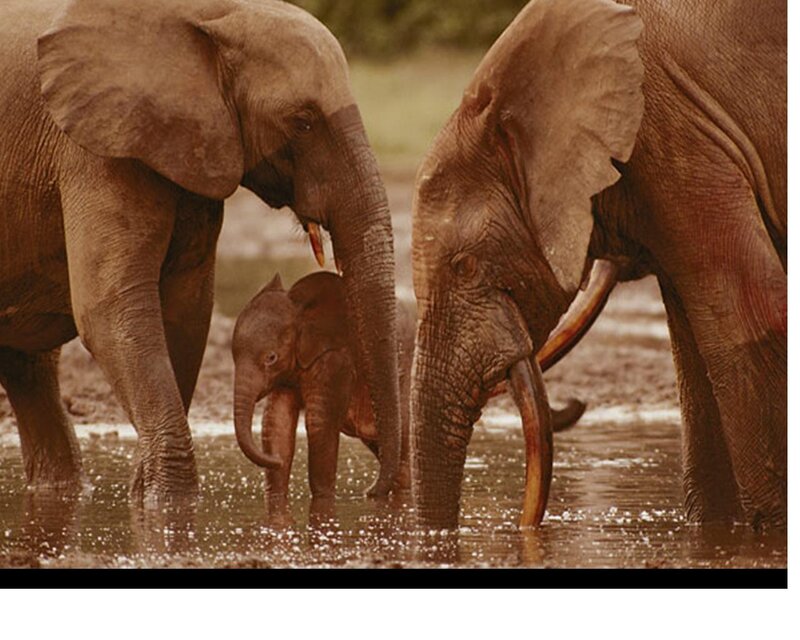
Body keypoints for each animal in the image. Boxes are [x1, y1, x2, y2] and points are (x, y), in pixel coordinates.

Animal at [0, 0, 402, 504]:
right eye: (303, 120)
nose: (375, 490)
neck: (213, 14)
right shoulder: (94, 150)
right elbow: (109, 311)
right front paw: (169, 503)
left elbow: (185, 311)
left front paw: (149, 496)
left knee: (28, 366)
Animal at [231, 271, 586, 510]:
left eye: (270, 358)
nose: (271, 463)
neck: (302, 308)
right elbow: (276, 424)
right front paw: (276, 495)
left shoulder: (337, 360)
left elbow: (319, 425)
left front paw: (322, 506)